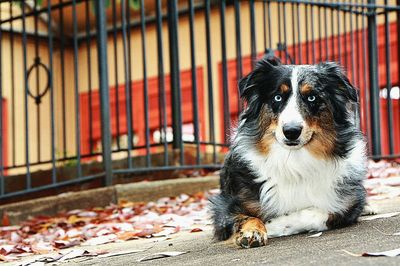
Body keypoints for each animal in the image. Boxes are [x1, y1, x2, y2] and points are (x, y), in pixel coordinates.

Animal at [211, 57, 368, 248]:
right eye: (277, 97)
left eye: (312, 97)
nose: (291, 131)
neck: (293, 160)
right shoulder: (223, 208)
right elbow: (247, 217)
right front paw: (254, 231)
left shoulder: (348, 204)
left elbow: (317, 213)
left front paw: (274, 225)